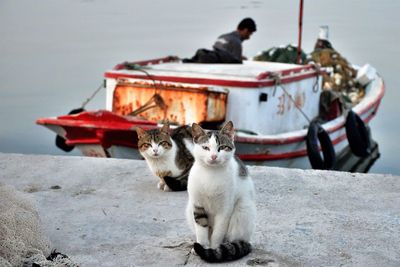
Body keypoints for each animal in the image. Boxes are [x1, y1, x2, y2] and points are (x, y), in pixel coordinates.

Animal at [185, 122, 256, 264]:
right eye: (205, 147)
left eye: (222, 147)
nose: (213, 156)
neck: (211, 174)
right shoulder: (197, 206)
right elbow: (201, 229)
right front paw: (202, 245)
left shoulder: (225, 210)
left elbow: (218, 233)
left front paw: (214, 249)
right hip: (189, 209)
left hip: (242, 210)